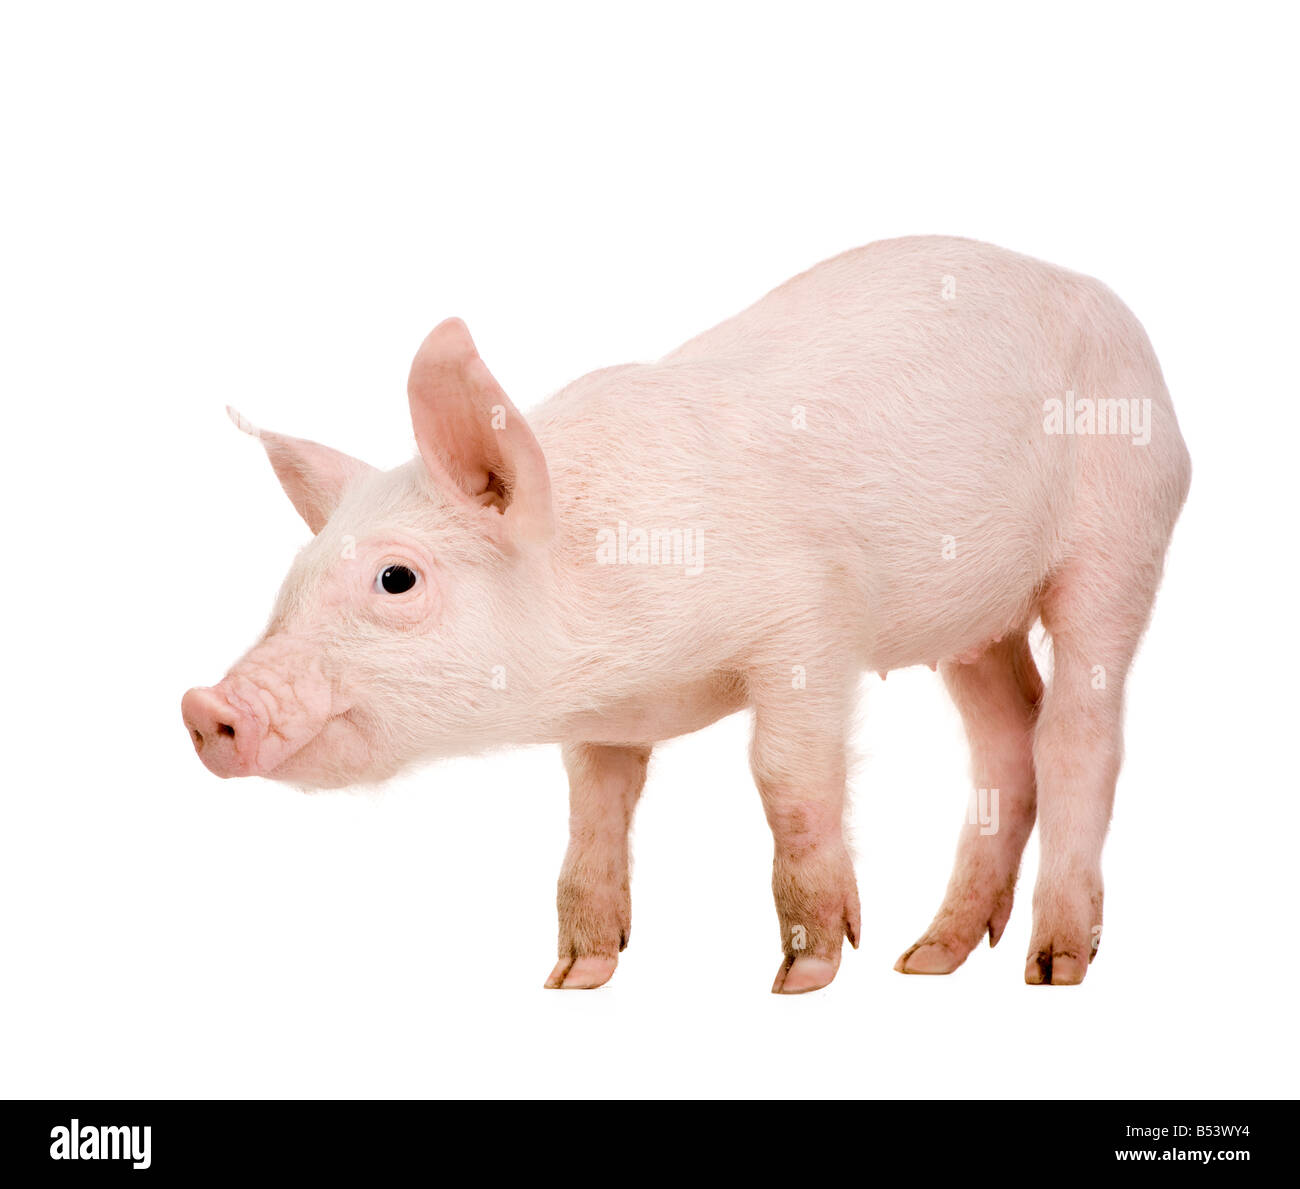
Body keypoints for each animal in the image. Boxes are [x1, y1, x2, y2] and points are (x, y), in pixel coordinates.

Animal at [181, 236, 1191, 993]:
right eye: (294, 577)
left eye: (397, 579)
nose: (203, 706)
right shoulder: (603, 720)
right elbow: (593, 809)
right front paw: (575, 975)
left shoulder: (811, 619)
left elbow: (784, 774)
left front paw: (805, 976)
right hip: (973, 618)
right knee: (1006, 735)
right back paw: (929, 958)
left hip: (1121, 533)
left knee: (1080, 732)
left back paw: (1052, 967)